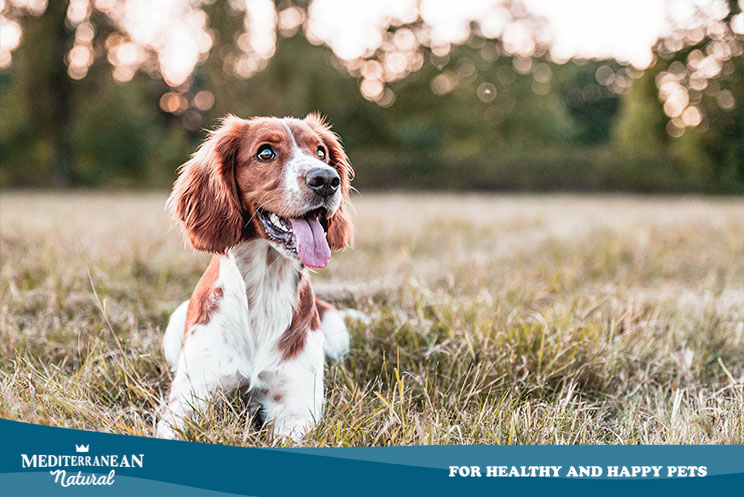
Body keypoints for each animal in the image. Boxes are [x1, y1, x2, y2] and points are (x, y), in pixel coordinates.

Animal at [155, 114, 354, 440]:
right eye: (266, 153)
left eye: (321, 152)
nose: (327, 179)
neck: (265, 285)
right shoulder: (187, 402)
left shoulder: (295, 410)